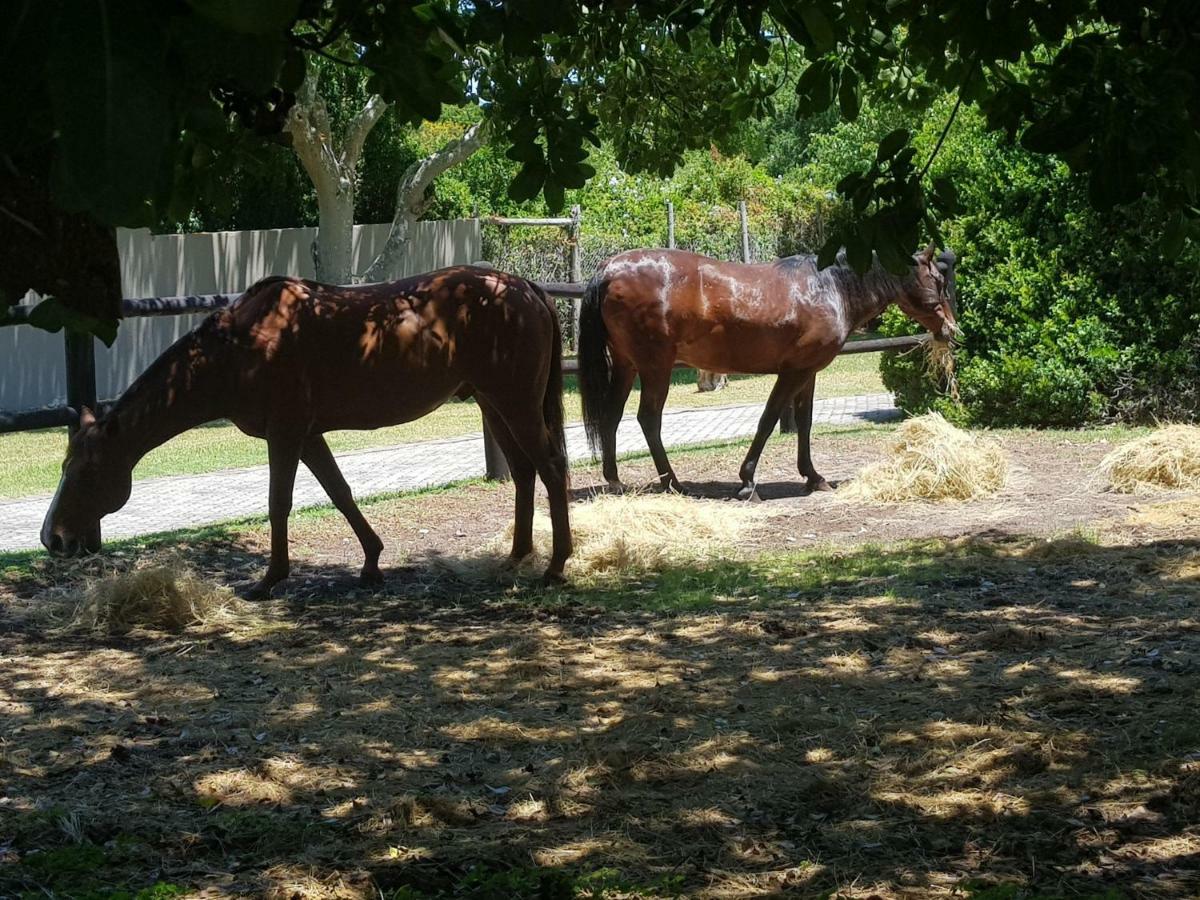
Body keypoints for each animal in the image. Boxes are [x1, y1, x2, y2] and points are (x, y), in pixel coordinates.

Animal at [39, 264, 573, 595]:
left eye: (84, 472)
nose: (52, 539)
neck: (237, 349)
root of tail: (526, 288)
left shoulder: (286, 433)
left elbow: (279, 502)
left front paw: (270, 579)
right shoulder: (309, 436)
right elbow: (340, 492)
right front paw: (371, 562)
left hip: (514, 404)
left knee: (550, 468)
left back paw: (555, 565)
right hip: (494, 404)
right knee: (525, 472)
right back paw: (516, 556)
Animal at [576, 247, 960, 501]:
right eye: (937, 280)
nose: (951, 330)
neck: (829, 288)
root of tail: (610, 269)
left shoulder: (808, 371)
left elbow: (804, 421)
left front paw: (813, 477)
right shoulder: (792, 372)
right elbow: (768, 419)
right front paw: (747, 482)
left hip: (626, 365)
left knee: (612, 417)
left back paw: (615, 481)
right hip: (656, 367)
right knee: (648, 419)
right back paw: (673, 483)